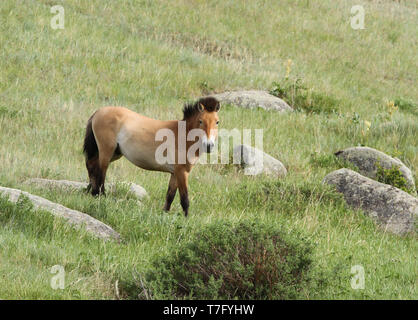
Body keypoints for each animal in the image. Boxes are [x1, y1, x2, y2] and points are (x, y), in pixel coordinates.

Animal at [81, 96, 219, 216]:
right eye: (200, 121)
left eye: (217, 122)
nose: (209, 145)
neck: (183, 136)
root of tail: (98, 112)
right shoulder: (182, 172)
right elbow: (184, 198)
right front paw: (186, 219)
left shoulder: (175, 173)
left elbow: (170, 195)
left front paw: (165, 214)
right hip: (106, 151)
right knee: (101, 173)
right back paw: (100, 196)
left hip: (114, 153)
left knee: (92, 166)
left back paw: (91, 192)